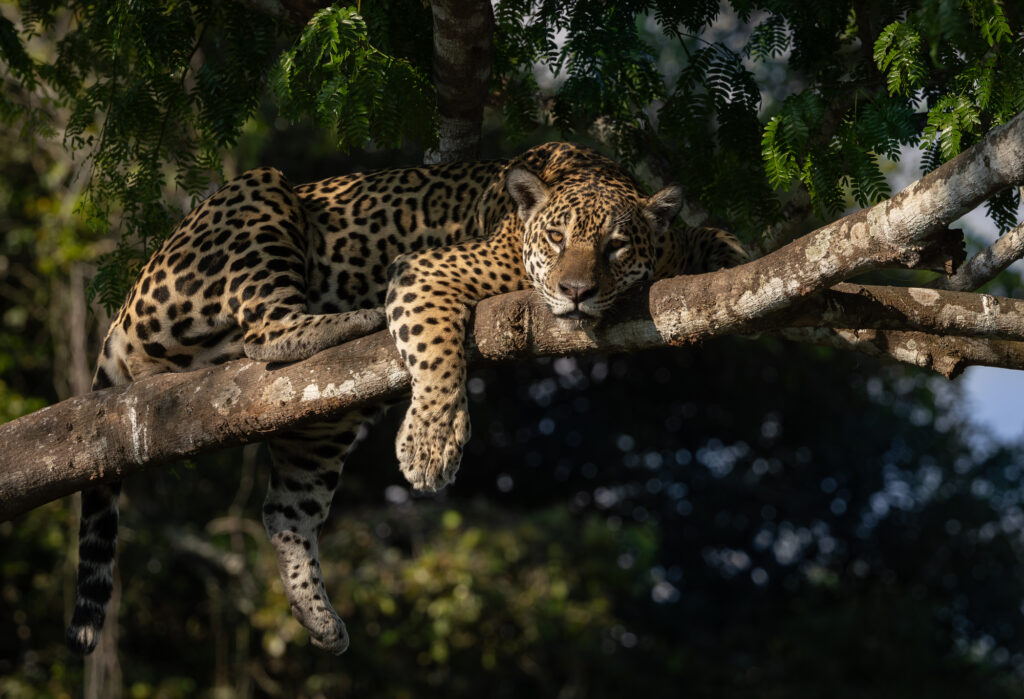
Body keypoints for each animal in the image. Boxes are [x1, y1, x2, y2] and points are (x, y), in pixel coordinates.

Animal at [66, 141, 748, 656]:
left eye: (615, 246)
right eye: (555, 240)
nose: (576, 291)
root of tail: (125, 305)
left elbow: (719, 239)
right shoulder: (429, 271)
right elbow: (437, 352)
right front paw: (431, 445)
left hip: (324, 421)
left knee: (285, 509)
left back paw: (319, 618)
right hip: (258, 196)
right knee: (268, 328)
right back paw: (351, 320)